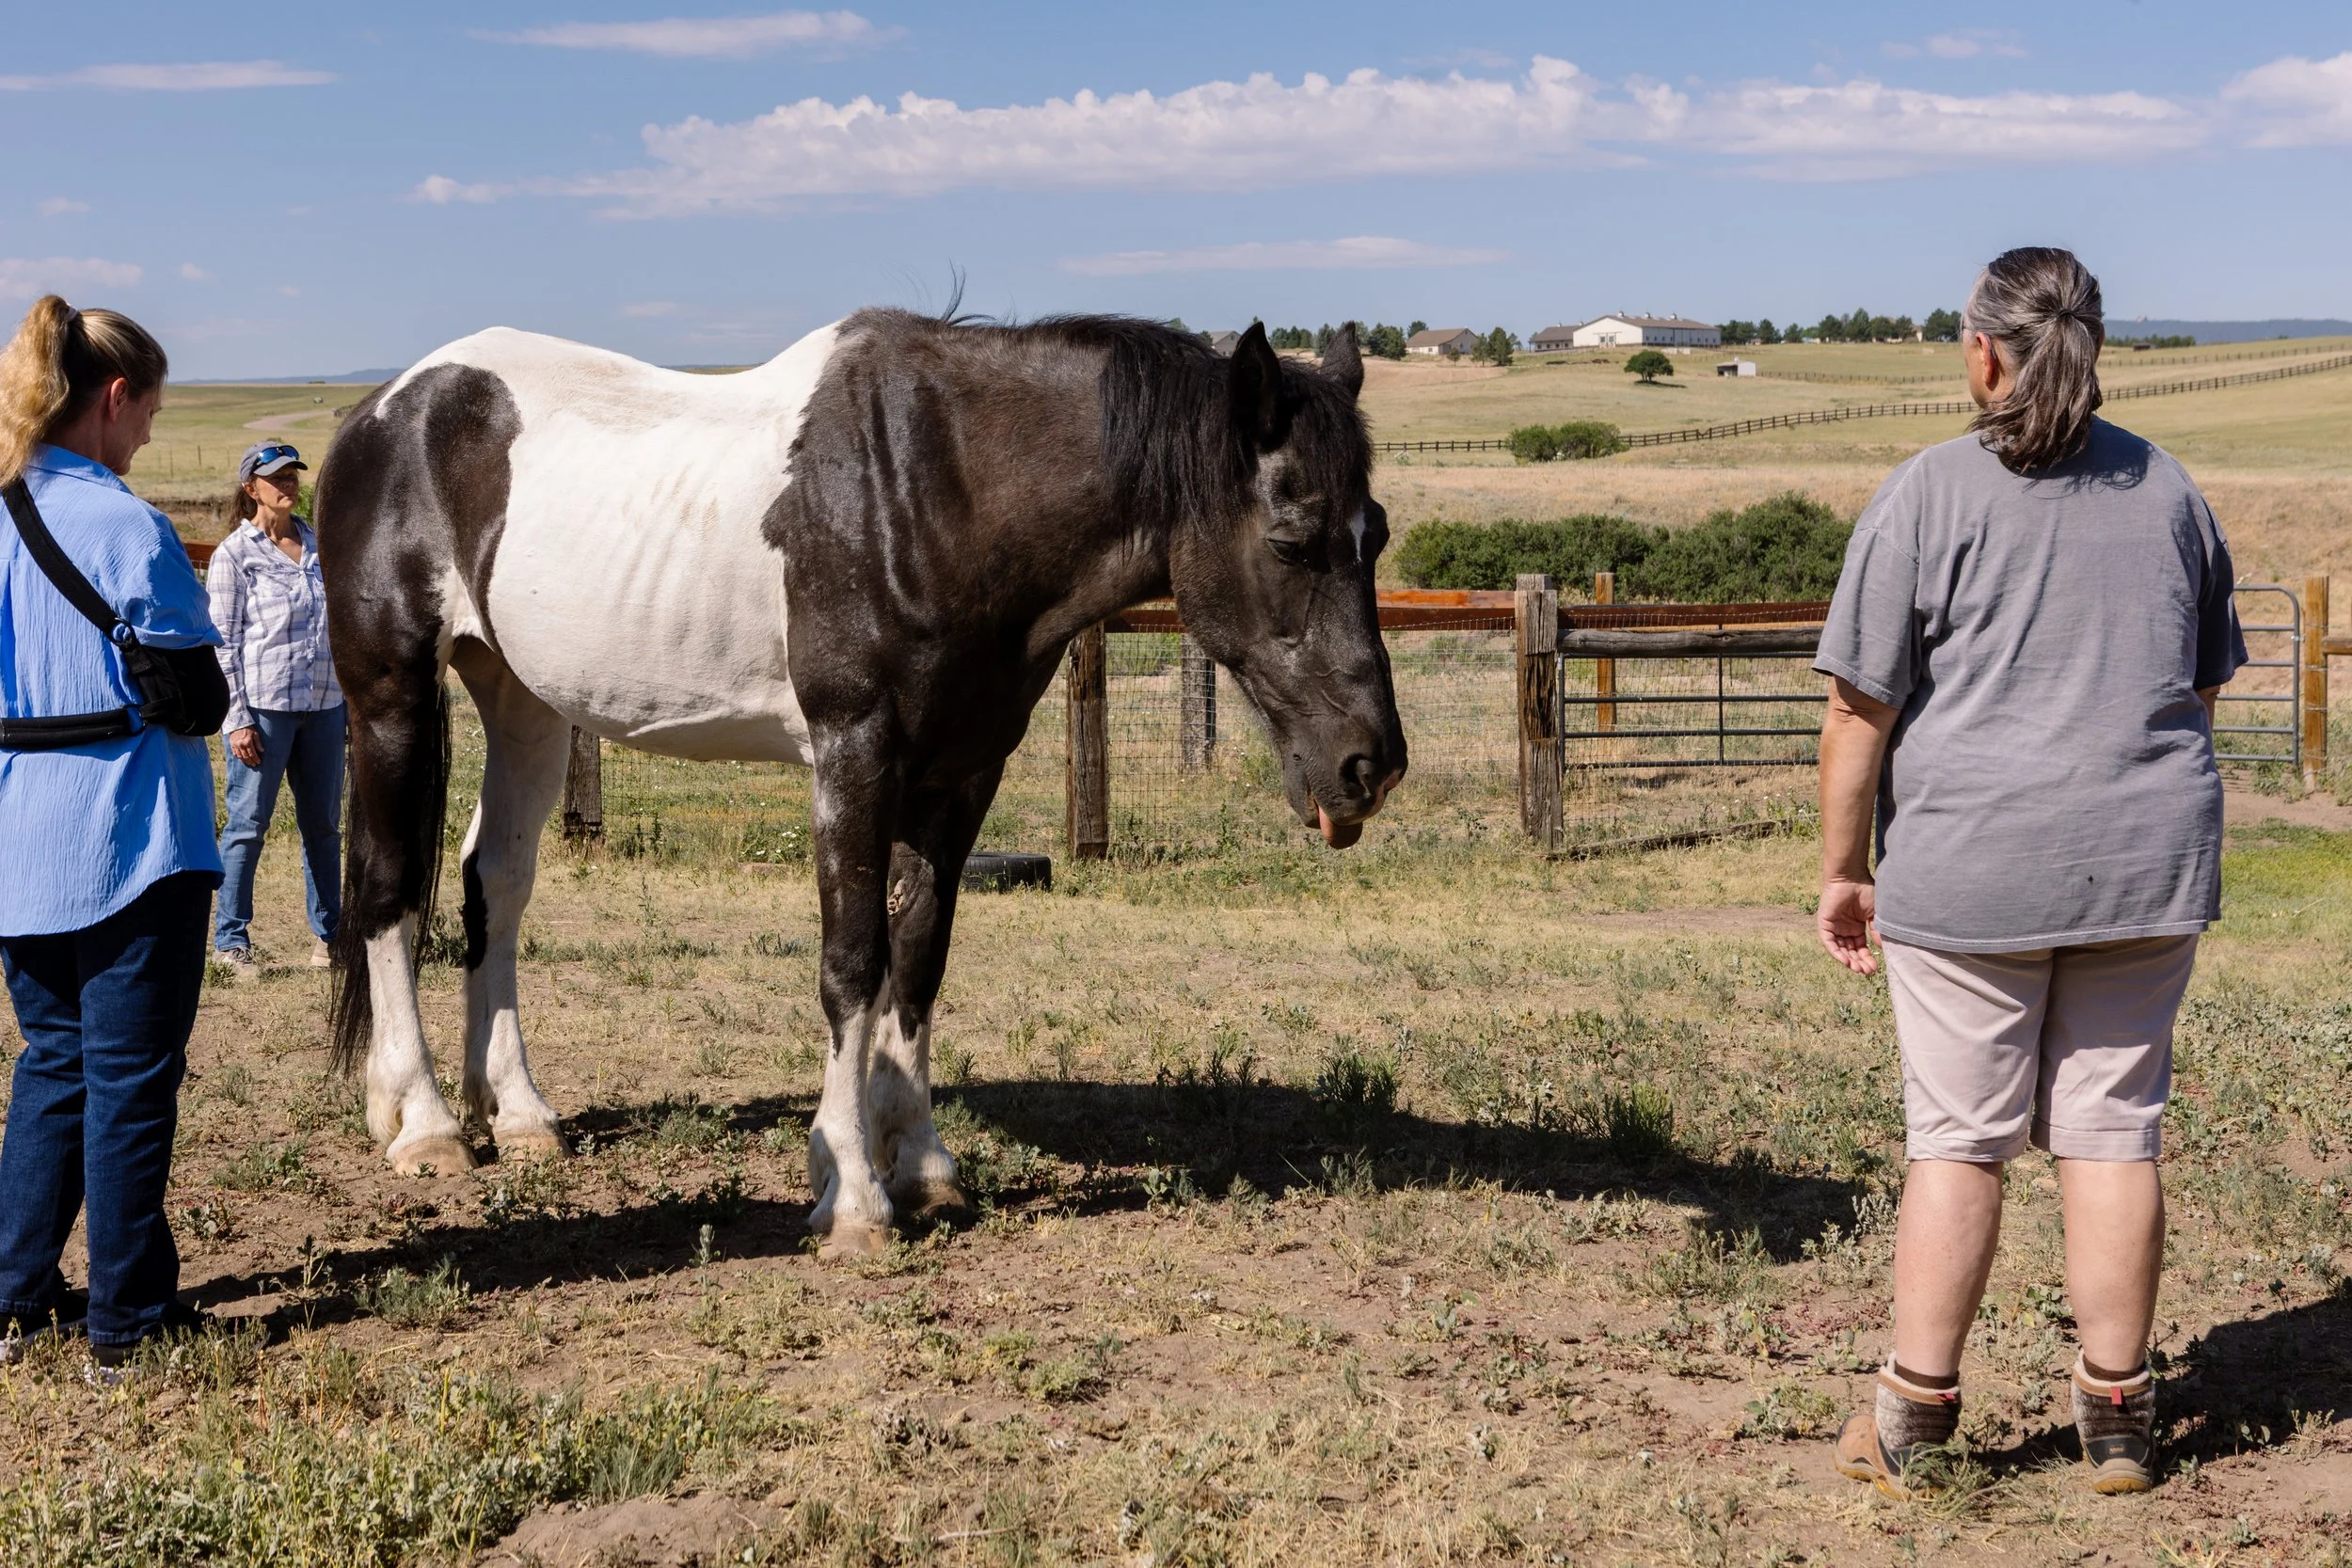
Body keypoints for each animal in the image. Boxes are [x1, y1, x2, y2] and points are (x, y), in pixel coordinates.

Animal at [316, 311, 1405, 1256]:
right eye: (1291, 538)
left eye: (1378, 533)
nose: (1370, 764)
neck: (937, 493)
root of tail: (387, 409)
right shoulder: (854, 758)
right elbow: (851, 964)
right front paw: (851, 1192)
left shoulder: (959, 776)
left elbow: (917, 961)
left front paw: (921, 1164)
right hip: (390, 694)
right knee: (383, 889)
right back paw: (423, 1120)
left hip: (525, 700)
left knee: (491, 882)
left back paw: (518, 1111)